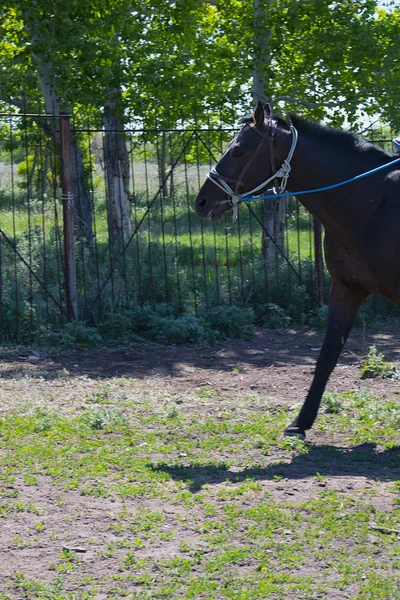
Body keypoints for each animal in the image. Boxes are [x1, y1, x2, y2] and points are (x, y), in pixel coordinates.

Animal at [195, 99, 400, 440]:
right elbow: (327, 356)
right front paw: (300, 422)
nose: (201, 201)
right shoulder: (345, 289)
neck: (375, 205)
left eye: (238, 150)